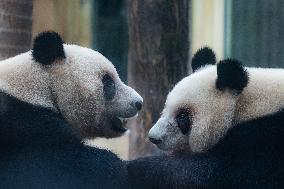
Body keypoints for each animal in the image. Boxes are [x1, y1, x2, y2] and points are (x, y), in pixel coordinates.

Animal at [127, 47, 284, 189]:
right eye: (165, 107)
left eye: (182, 116)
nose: (154, 138)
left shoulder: (264, 141)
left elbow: (204, 174)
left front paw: (132, 169)